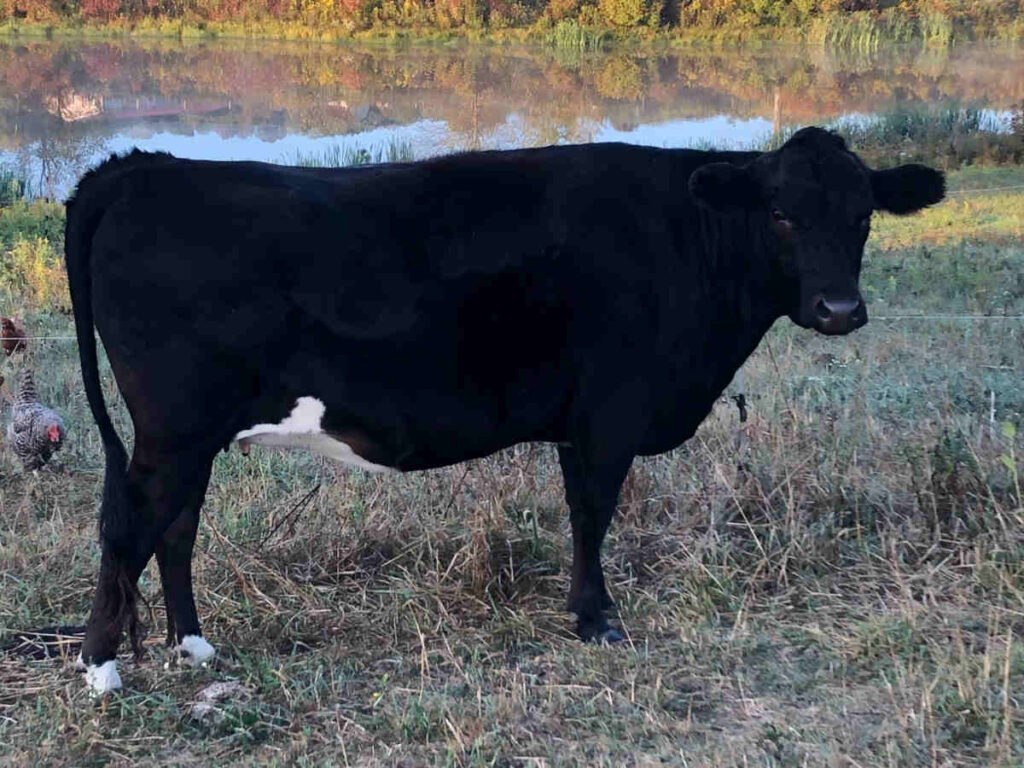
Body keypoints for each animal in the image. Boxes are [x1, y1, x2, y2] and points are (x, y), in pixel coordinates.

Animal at [65, 127, 944, 695]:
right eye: (782, 213)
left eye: (864, 214)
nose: (839, 309)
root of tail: (144, 168)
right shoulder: (608, 413)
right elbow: (592, 513)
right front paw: (597, 619)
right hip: (174, 427)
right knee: (131, 525)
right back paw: (101, 669)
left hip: (193, 434)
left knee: (175, 527)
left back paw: (195, 648)